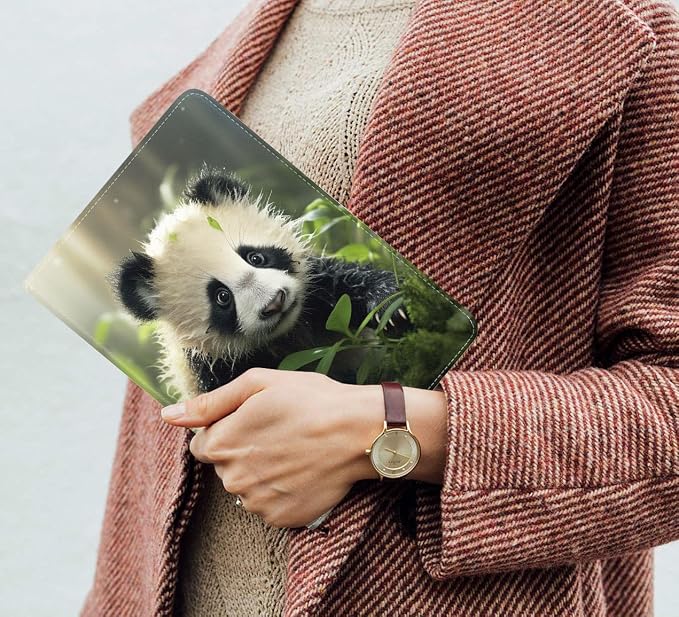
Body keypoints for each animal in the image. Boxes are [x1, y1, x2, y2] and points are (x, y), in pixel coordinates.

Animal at [110, 167, 409, 400]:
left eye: (255, 257)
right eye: (222, 297)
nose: (275, 302)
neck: (287, 336)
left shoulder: (319, 292)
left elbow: (348, 282)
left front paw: (392, 307)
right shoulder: (214, 372)